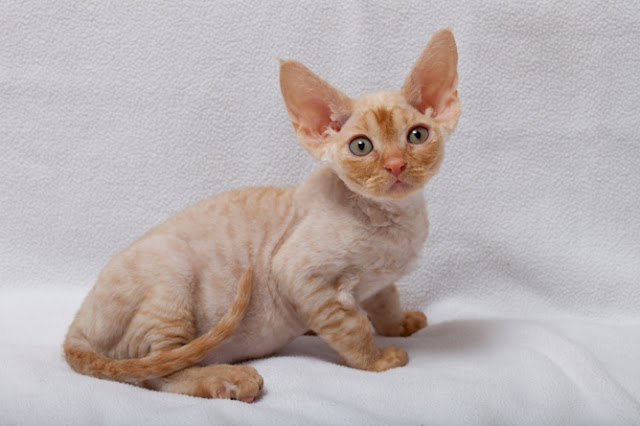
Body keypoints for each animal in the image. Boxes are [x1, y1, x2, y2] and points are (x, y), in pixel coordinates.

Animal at [63, 28, 460, 402]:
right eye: (361, 146)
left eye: (417, 135)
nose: (395, 165)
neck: (396, 220)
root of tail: (76, 328)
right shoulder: (297, 273)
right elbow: (352, 328)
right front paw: (377, 359)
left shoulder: (377, 281)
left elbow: (385, 300)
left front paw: (402, 323)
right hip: (170, 279)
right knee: (157, 372)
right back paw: (229, 380)